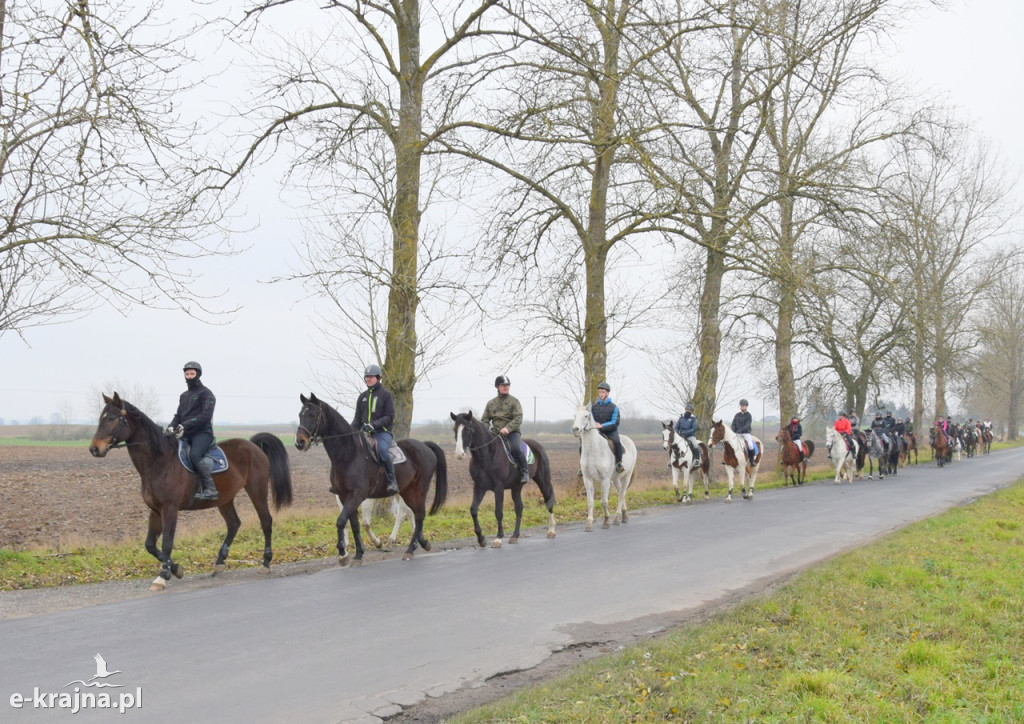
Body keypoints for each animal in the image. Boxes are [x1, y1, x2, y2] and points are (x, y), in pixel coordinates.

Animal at [90, 391, 294, 589]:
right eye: (101, 418)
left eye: (112, 418)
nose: (94, 449)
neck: (160, 461)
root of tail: (253, 445)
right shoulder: (155, 510)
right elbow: (150, 545)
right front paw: (176, 569)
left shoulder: (169, 509)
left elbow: (167, 542)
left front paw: (163, 576)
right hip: (224, 498)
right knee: (234, 523)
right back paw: (219, 562)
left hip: (257, 491)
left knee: (266, 521)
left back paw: (266, 563)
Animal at [292, 391, 444, 565]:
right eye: (300, 415)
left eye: (313, 414)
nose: (299, 442)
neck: (349, 455)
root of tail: (425, 445)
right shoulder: (344, 496)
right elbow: (353, 524)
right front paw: (358, 554)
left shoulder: (358, 495)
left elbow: (342, 521)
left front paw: (343, 553)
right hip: (406, 491)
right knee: (414, 514)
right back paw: (421, 543)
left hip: (418, 490)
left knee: (417, 514)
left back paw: (410, 549)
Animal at [450, 411, 557, 544]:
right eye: (455, 429)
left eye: (468, 429)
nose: (459, 454)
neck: (487, 455)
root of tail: (538, 446)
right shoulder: (479, 487)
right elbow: (473, 509)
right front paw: (481, 538)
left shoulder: (498, 487)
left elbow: (498, 512)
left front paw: (498, 538)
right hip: (516, 487)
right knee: (519, 508)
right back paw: (515, 535)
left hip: (543, 481)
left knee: (548, 501)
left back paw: (551, 530)